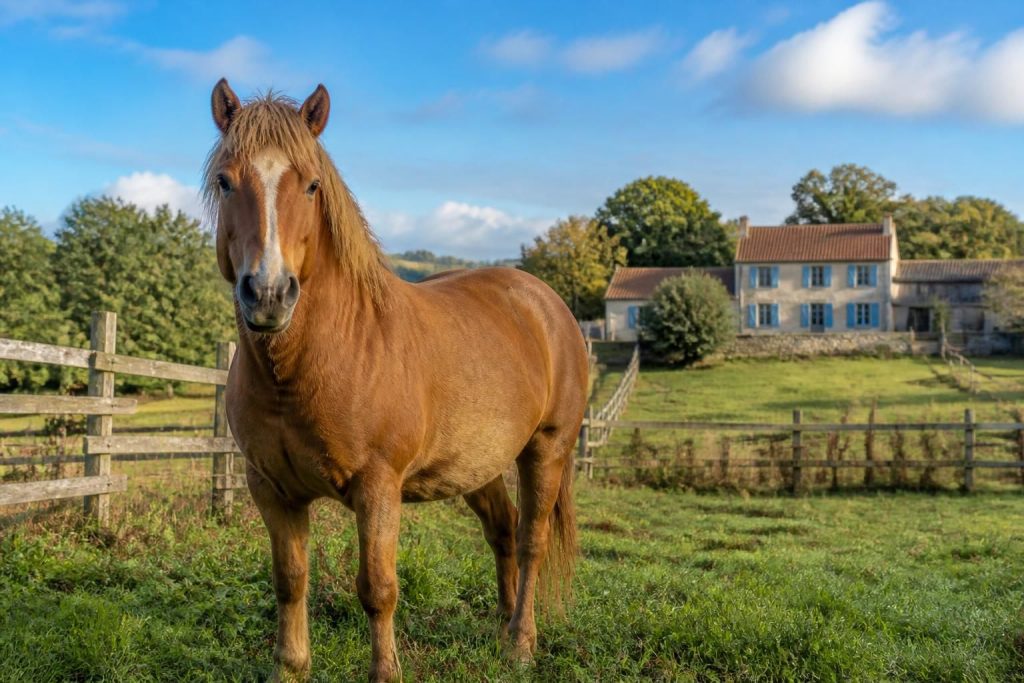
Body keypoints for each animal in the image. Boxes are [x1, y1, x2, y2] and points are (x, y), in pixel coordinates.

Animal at [204, 79, 588, 682]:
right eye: (225, 181)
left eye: (312, 185)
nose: (268, 294)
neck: (307, 369)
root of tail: (545, 302)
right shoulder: (272, 488)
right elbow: (290, 580)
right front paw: (290, 666)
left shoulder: (377, 487)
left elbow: (378, 588)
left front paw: (386, 670)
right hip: (478, 464)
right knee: (503, 530)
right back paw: (502, 626)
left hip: (546, 450)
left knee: (531, 540)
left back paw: (521, 643)